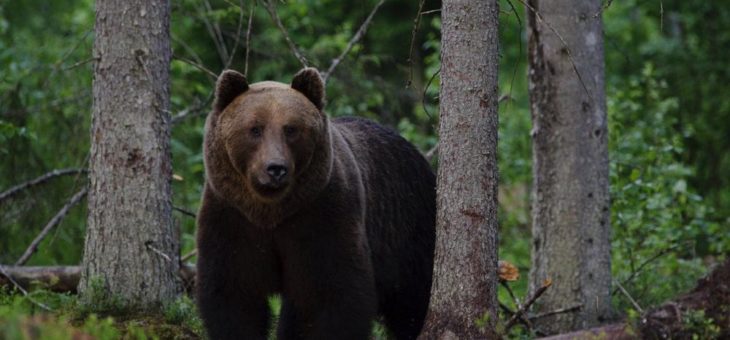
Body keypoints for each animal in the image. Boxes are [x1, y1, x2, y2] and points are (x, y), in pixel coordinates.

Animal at [195, 67, 432, 340]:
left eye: (291, 128)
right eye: (255, 128)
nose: (276, 169)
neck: (271, 210)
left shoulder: (321, 214)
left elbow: (332, 293)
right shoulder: (232, 217)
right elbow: (233, 294)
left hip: (407, 229)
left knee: (413, 299)